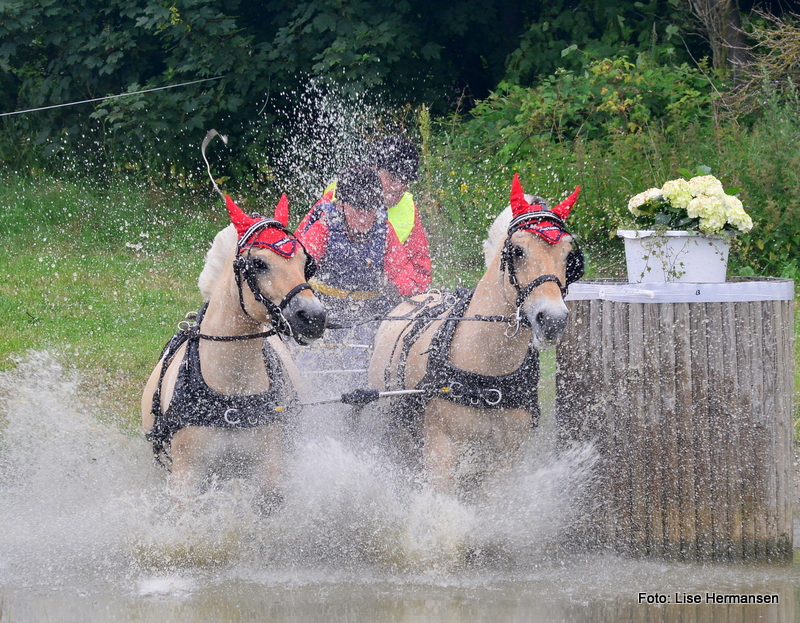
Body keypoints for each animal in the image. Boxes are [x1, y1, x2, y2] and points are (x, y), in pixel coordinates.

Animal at [141, 194, 324, 512]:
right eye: (258, 263)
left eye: (306, 263)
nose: (313, 316)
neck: (230, 391)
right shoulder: (186, 477)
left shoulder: (268, 470)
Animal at [368, 174, 580, 498]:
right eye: (517, 251)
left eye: (569, 257)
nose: (553, 319)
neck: (487, 370)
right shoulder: (441, 449)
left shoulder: (504, 458)